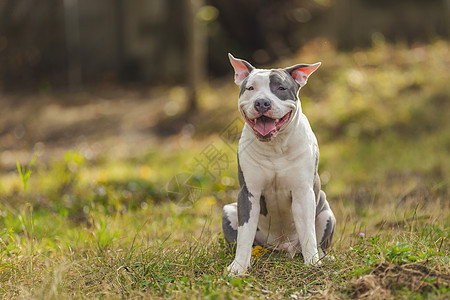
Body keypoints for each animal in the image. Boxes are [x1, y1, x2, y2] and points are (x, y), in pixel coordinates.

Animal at [223, 52, 336, 276]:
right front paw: (238, 267)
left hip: (327, 213)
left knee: (319, 241)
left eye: (281, 88)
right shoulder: (249, 193)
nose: (262, 103)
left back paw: (324, 257)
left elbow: (308, 232)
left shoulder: (303, 192)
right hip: (228, 211)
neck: (275, 147)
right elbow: (245, 234)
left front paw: (313, 264)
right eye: (251, 88)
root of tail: (284, 248)